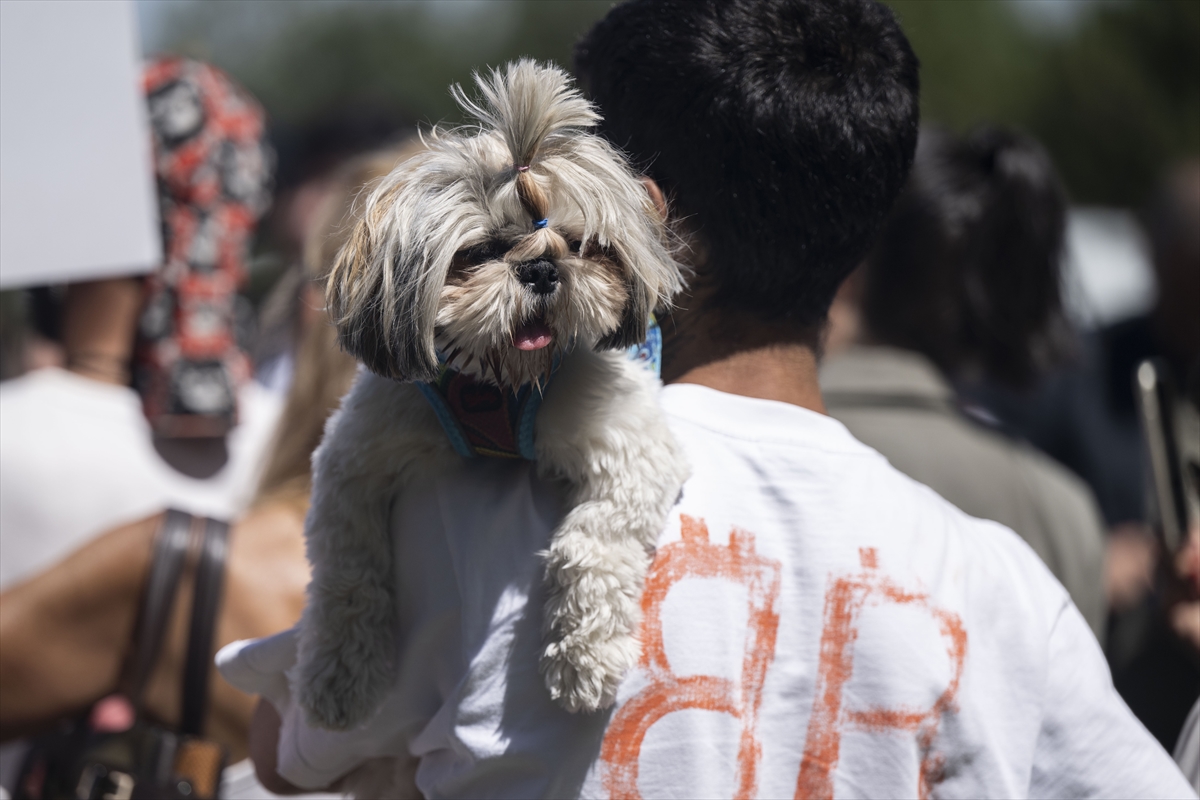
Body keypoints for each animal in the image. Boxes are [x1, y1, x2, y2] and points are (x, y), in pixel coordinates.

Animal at [298, 59, 691, 729]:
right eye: (480, 253)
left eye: (580, 245)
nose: (541, 270)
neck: (499, 382)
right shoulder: (353, 460)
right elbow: (348, 568)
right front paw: (340, 672)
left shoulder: (631, 447)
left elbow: (590, 541)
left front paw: (582, 659)